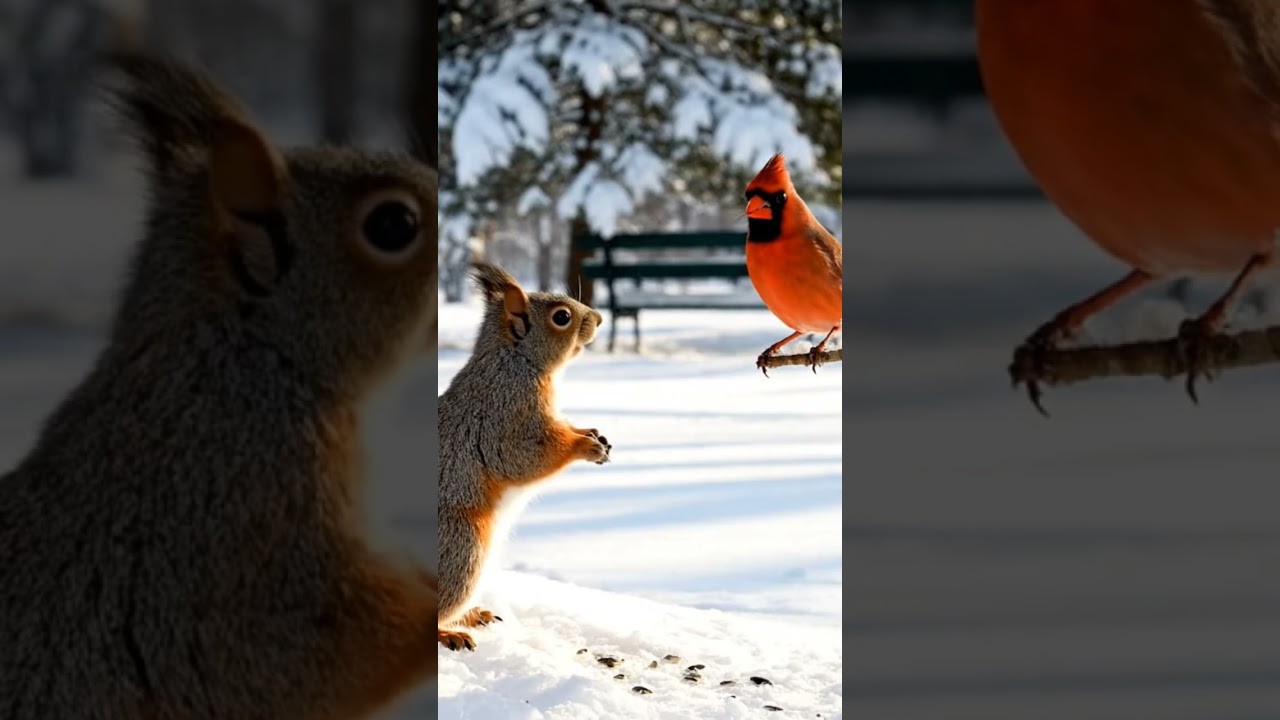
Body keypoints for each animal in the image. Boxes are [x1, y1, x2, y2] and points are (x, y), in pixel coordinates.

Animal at [437, 263, 611, 652]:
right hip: (462, 550)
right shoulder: (504, 416)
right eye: (561, 317)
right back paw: (450, 632)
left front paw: (592, 433)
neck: (516, 361)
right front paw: (585, 447)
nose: (599, 318)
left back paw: (473, 615)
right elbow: (522, 457)